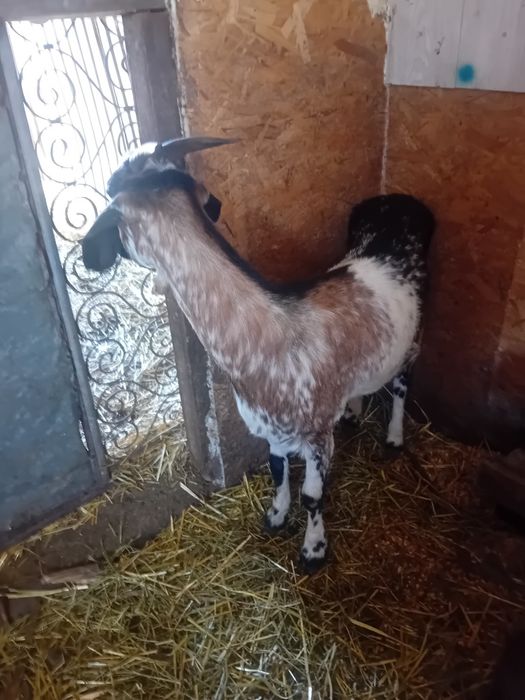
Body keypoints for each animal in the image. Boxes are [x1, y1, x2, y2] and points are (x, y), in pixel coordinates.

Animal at [81, 136, 435, 572]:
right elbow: (277, 471)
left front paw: (313, 551)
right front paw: (276, 517)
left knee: (401, 388)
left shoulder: (317, 436)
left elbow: (313, 495)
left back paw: (395, 438)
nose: (86, 255)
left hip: (413, 342)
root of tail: (399, 205)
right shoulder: (271, 430)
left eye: (111, 212)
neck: (269, 338)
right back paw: (353, 411)